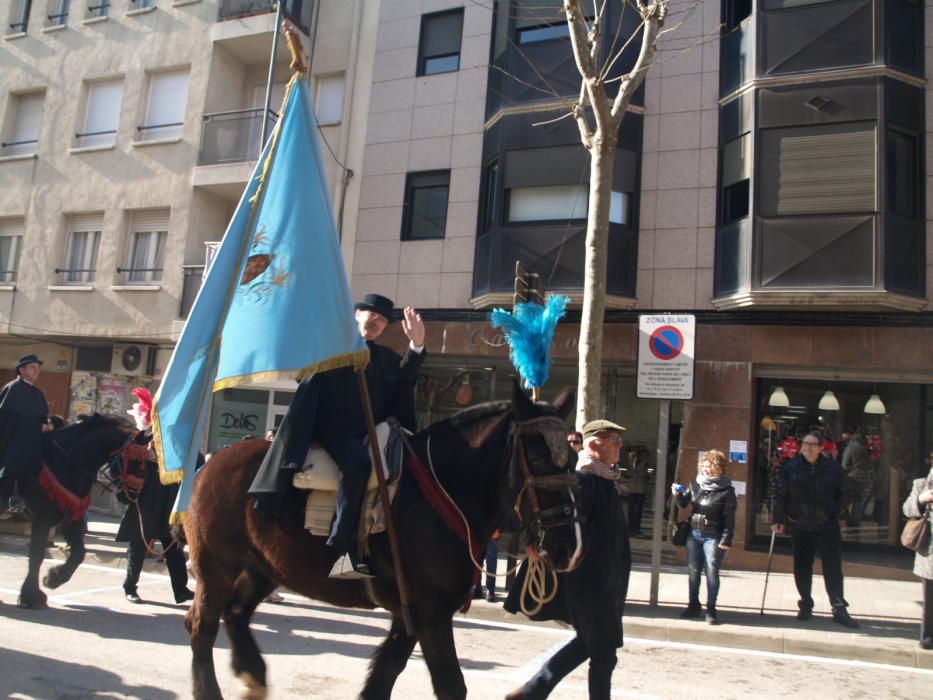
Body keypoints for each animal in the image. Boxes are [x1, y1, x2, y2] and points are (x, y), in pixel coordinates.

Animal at [182, 382, 580, 700]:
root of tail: (211, 463)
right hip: (216, 567)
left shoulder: (410, 616)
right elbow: (450, 684)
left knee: (235, 614)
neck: (445, 493)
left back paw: (254, 677)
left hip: (262, 569)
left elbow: (385, 674)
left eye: (574, 457)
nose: (567, 546)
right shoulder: (431, 613)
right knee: (202, 626)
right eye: (539, 458)